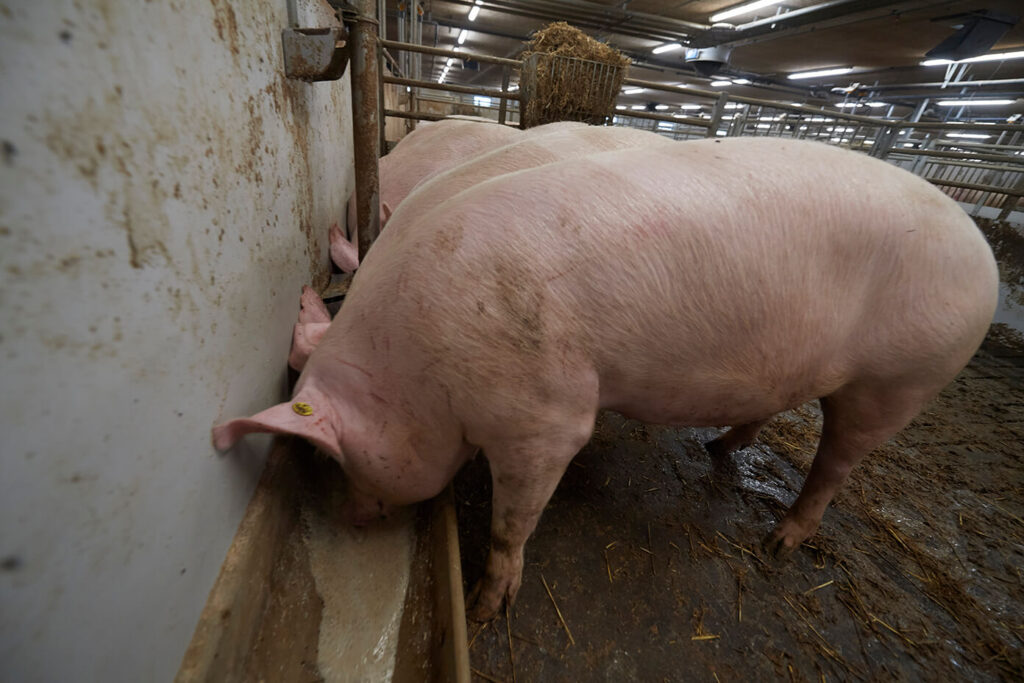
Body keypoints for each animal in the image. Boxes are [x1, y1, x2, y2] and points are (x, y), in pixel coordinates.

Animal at [215, 137, 998, 621]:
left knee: (838, 460)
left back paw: (779, 543)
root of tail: (982, 251)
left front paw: (486, 608)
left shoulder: (546, 415)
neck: (414, 364)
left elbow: (513, 520)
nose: (350, 517)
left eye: (335, 457)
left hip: (901, 378)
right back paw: (717, 447)